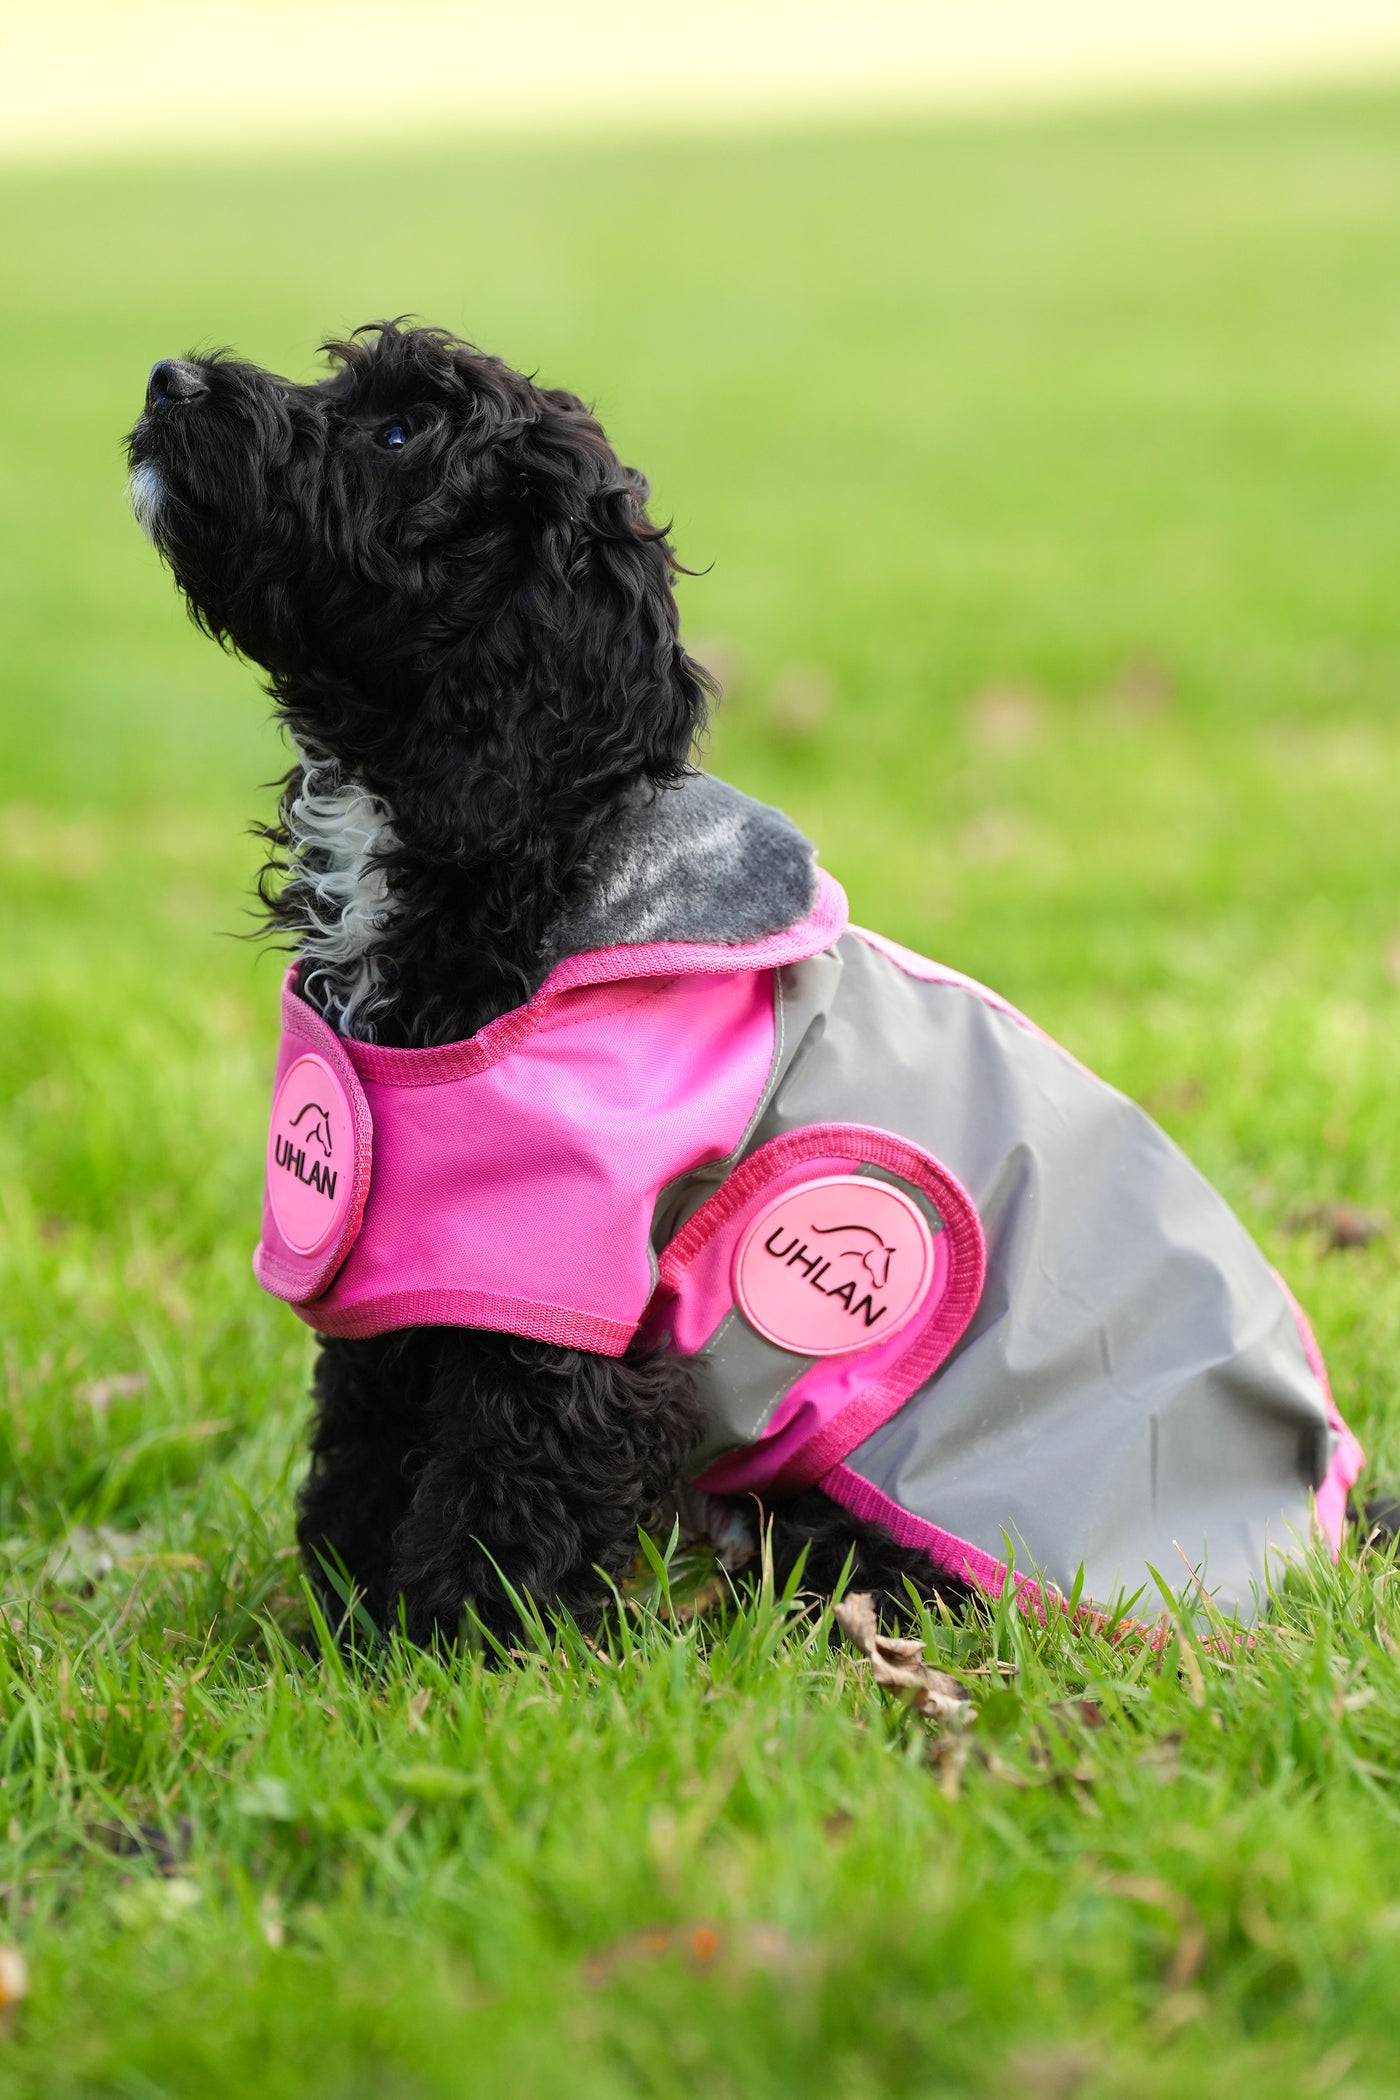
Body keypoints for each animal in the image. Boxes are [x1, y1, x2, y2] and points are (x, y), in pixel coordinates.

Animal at [128, 319, 940, 1646]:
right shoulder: (410, 1262)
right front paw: (333, 1639)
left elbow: (505, 1490)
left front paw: (451, 1659)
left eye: (398, 431)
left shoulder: (562, 1308)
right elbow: (364, 1454)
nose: (168, 379)